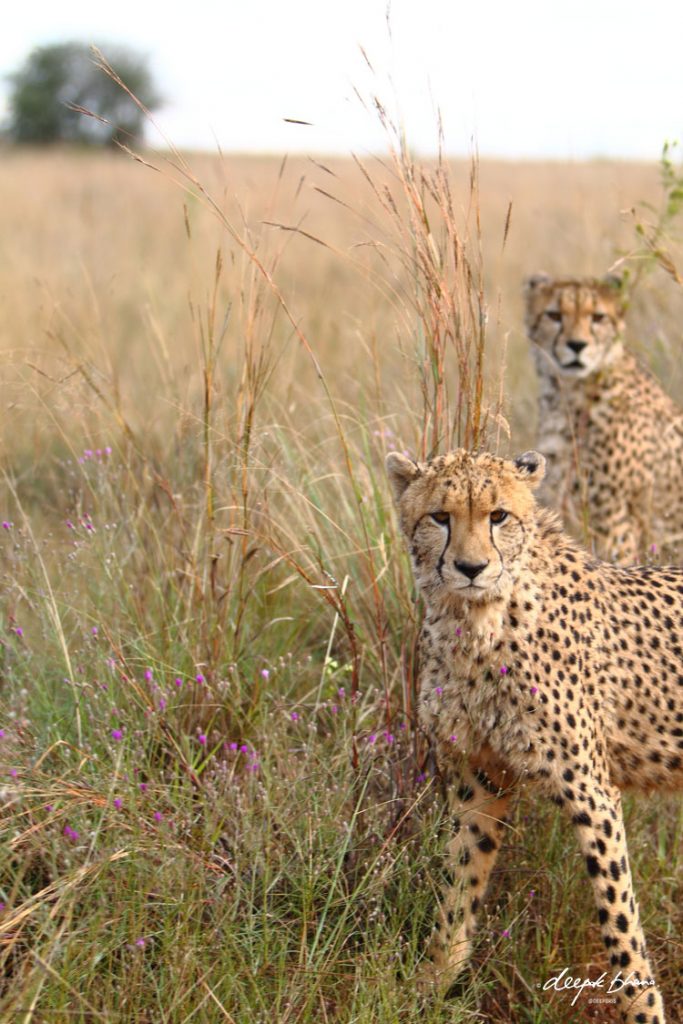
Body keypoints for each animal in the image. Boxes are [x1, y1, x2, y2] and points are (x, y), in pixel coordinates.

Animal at [387, 448, 679, 1024]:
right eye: (439, 517)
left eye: (499, 515)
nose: (471, 568)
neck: (477, 623)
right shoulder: (480, 780)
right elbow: (460, 884)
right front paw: (429, 986)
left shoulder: (592, 793)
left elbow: (620, 923)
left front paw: (645, 1010)